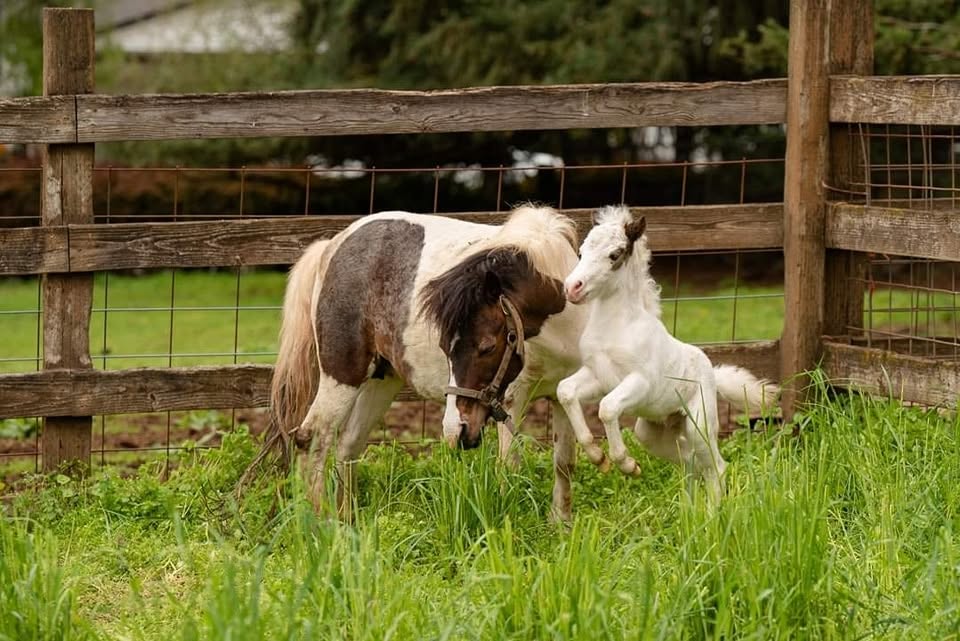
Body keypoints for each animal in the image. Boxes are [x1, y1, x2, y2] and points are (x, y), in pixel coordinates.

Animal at [256, 205, 586, 521]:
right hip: (342, 375)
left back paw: (345, 522)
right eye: (446, 348)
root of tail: (332, 246)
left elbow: (564, 463)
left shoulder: (561, 397)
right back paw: (320, 522)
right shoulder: (511, 400)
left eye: (487, 347)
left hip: (381, 382)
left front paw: (561, 525)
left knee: (348, 444)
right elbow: (510, 467)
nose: (457, 432)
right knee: (313, 437)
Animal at [556, 205, 778, 502]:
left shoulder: (639, 381)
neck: (617, 327)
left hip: (699, 425)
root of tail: (712, 372)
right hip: (651, 432)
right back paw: (690, 508)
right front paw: (598, 457)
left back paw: (712, 511)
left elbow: (607, 408)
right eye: (581, 251)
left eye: (614, 254)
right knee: (690, 462)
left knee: (716, 467)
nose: (572, 287)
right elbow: (565, 391)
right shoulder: (597, 376)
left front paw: (625, 464)